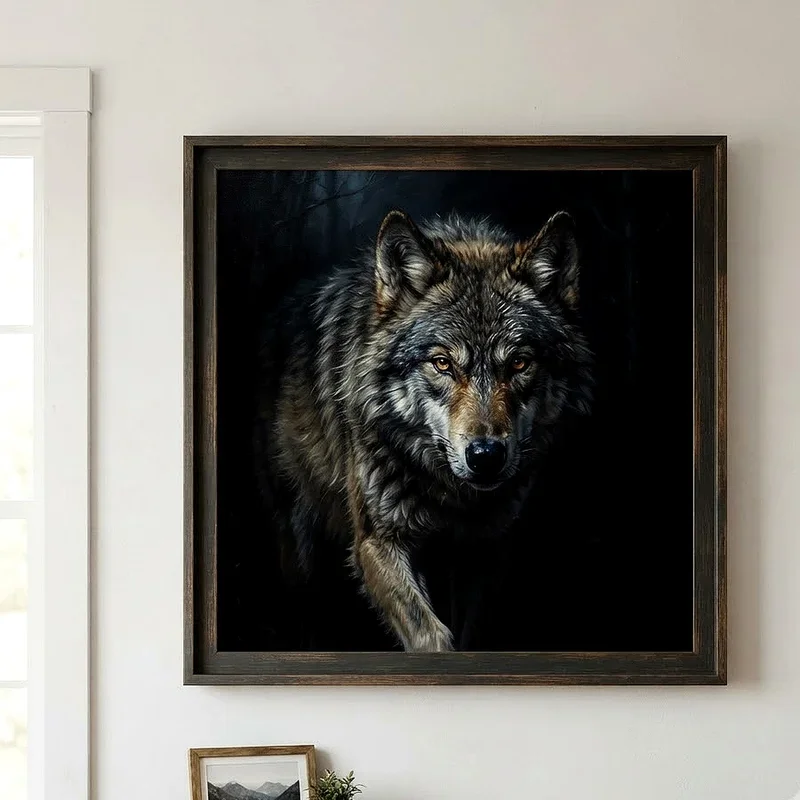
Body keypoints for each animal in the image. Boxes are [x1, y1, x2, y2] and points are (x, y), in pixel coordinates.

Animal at [255, 209, 593, 652]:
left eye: (519, 364)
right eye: (442, 363)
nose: (486, 456)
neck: (450, 496)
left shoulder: (483, 552)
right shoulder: (378, 541)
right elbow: (430, 635)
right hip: (299, 548)